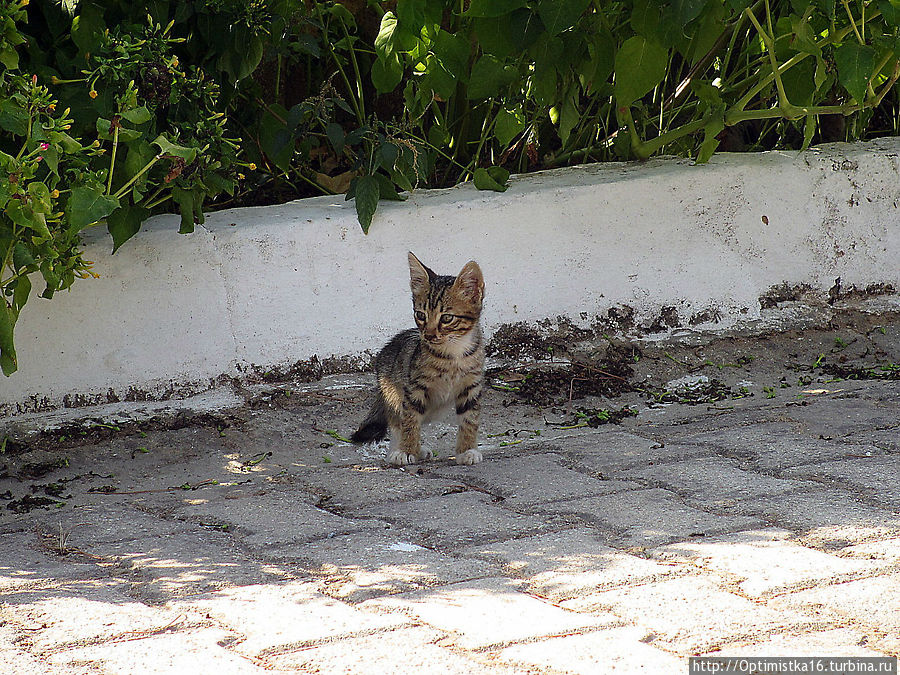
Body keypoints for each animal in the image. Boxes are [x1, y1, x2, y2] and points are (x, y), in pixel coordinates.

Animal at [354, 251, 488, 468]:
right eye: (420, 315)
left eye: (447, 318)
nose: (429, 335)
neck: (453, 353)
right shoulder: (414, 389)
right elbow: (410, 421)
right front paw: (407, 450)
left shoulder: (471, 387)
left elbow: (469, 420)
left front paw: (467, 450)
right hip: (394, 393)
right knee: (397, 422)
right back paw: (400, 450)